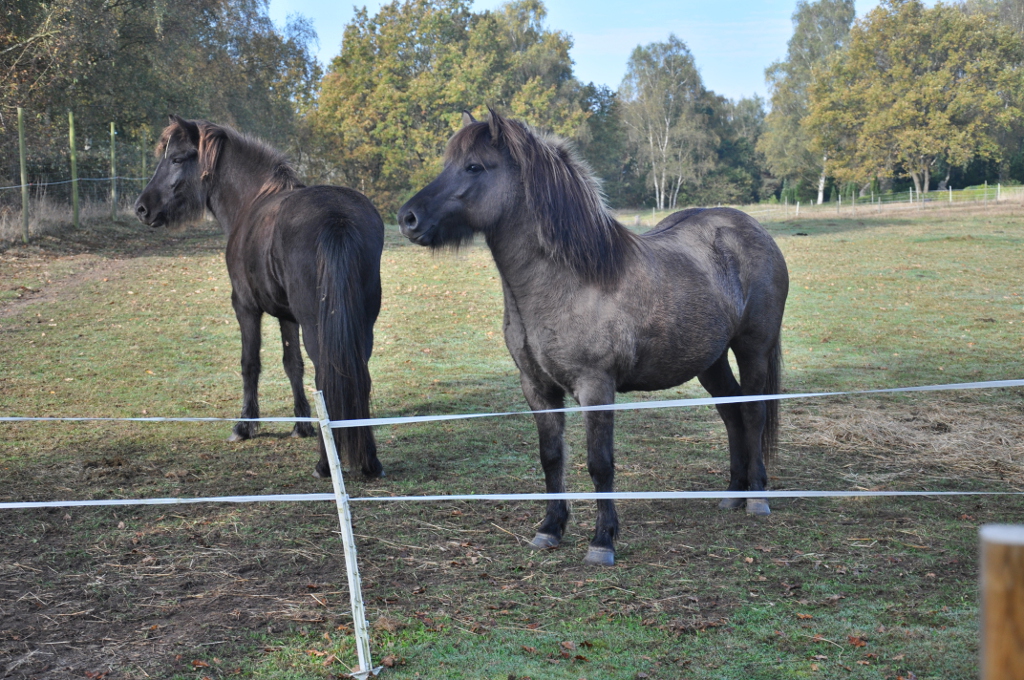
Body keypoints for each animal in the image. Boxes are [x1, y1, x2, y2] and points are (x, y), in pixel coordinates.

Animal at [136, 115, 385, 477]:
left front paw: (244, 425)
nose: (142, 208)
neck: (251, 200)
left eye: (177, 158)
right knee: (358, 375)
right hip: (360, 324)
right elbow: (292, 364)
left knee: (326, 375)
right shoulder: (286, 315)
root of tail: (336, 218)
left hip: (316, 326)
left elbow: (250, 363)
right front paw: (301, 424)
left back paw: (326, 464)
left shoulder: (245, 307)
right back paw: (369, 461)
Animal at [399, 111, 790, 565]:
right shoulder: (537, 388)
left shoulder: (596, 387)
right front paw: (550, 529)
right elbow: (552, 458)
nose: (407, 218)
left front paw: (602, 540)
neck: (569, 282)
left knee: (753, 412)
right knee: (731, 412)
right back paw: (732, 494)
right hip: (709, 359)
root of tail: (751, 228)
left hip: (753, 348)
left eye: (475, 166)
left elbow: (599, 463)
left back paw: (757, 498)